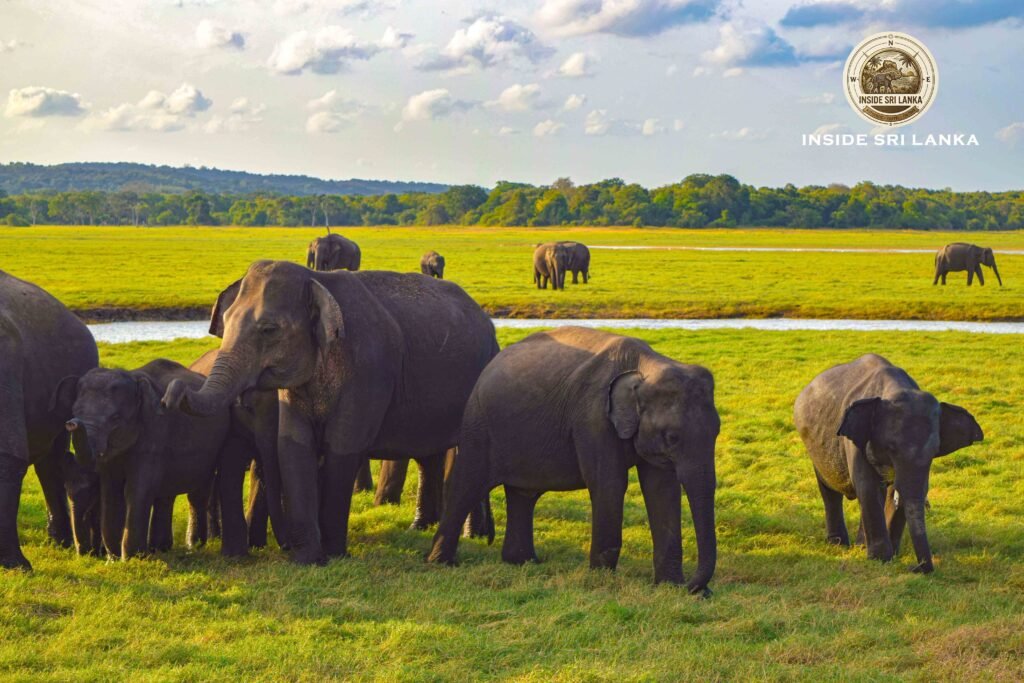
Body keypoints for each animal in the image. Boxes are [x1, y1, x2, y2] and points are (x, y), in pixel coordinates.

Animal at [63, 359, 244, 558]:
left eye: (115, 418)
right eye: (74, 411)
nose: (71, 424)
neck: (134, 378)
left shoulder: (155, 431)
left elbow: (138, 488)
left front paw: (133, 557)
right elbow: (110, 489)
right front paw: (114, 558)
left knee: (199, 491)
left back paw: (193, 545)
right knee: (167, 494)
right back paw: (161, 548)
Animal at [161, 260, 500, 565]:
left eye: (269, 329)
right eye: (226, 321)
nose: (169, 395)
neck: (316, 279)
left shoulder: (368, 370)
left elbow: (342, 448)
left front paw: (334, 554)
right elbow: (294, 446)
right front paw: (308, 559)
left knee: (465, 451)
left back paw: (474, 535)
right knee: (430, 456)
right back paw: (425, 528)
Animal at [429, 327, 720, 595]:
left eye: (717, 430)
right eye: (672, 437)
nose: (698, 589)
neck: (648, 365)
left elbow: (662, 490)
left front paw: (670, 586)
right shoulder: (593, 418)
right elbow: (610, 484)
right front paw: (602, 582)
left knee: (522, 494)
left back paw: (522, 562)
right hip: (478, 424)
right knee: (468, 484)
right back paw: (441, 563)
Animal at [794, 354, 983, 573]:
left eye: (934, 452)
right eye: (891, 448)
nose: (916, 568)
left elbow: (896, 493)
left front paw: (892, 554)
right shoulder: (856, 439)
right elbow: (868, 487)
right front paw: (881, 559)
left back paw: (861, 546)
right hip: (813, 444)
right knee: (829, 489)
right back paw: (839, 544)